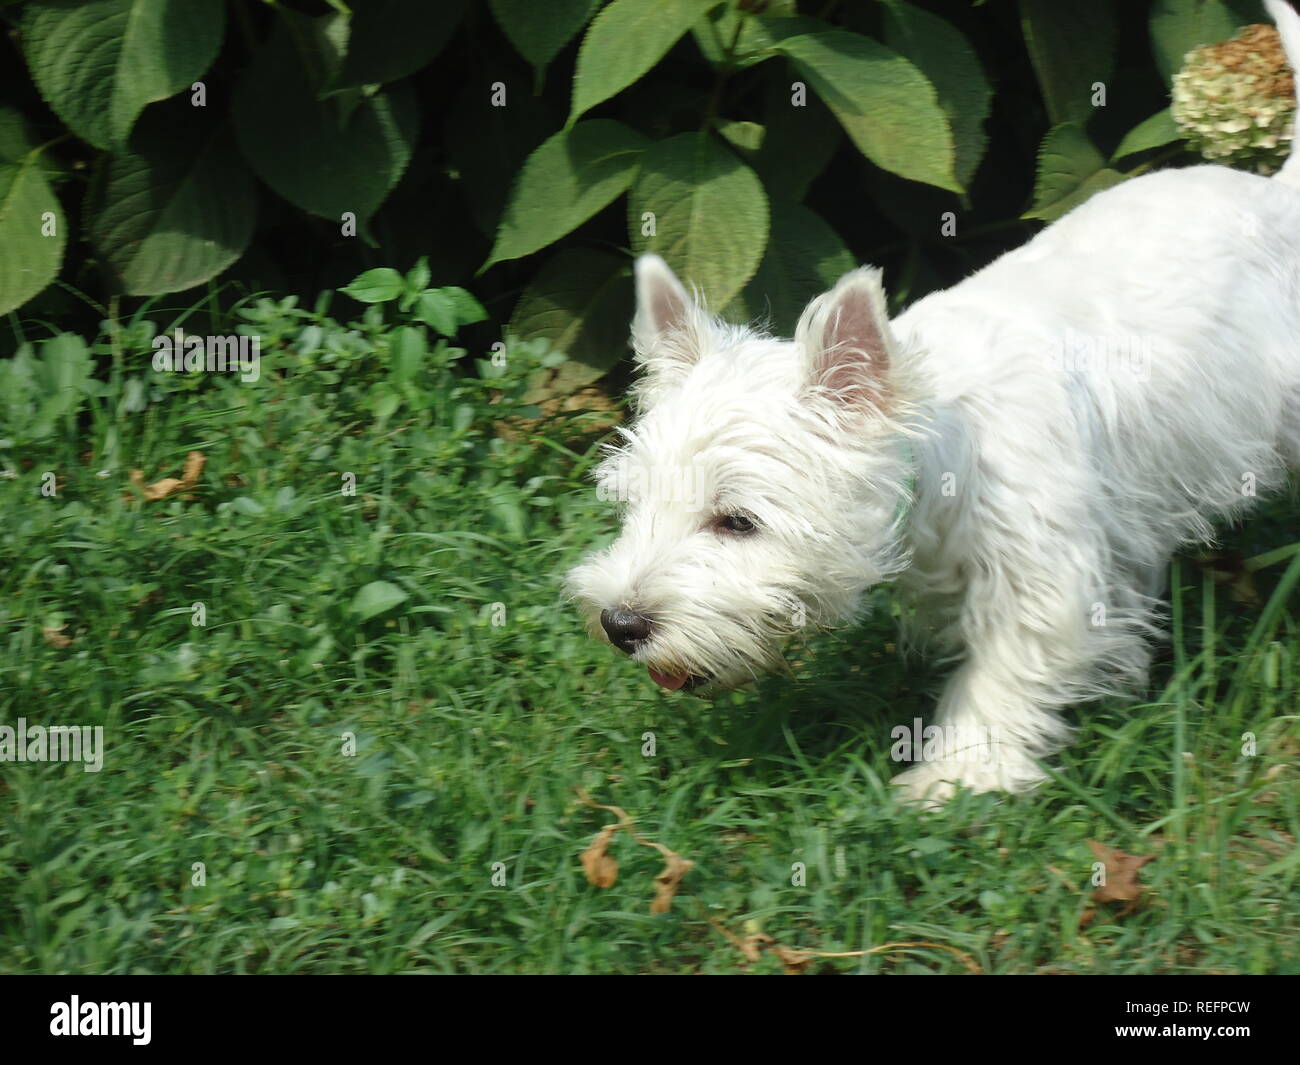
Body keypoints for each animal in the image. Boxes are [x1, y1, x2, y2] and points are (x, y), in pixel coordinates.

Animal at [569, 0, 1300, 801]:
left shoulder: (1037, 575)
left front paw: (956, 779)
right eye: (636, 504)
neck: (941, 440)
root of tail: (1273, 193)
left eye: (737, 521)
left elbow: (1004, 672)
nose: (620, 623)